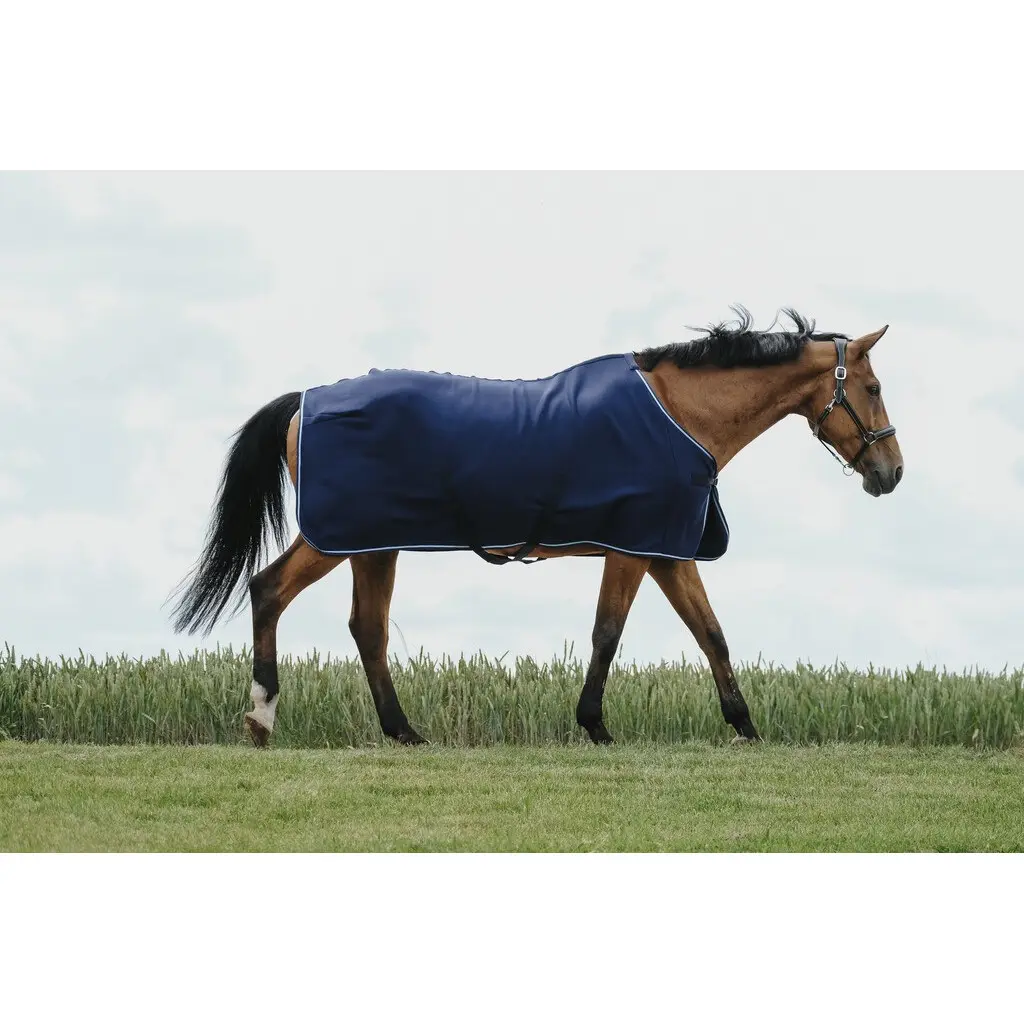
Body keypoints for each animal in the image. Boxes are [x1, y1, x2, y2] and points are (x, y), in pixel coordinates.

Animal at [168, 306, 902, 748]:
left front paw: (746, 728)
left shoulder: (667, 552)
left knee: (366, 630)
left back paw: (403, 731)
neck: (678, 412)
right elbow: (608, 633)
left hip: (373, 545)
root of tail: (306, 399)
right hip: (339, 537)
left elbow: (712, 635)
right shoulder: (634, 547)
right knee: (271, 591)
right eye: (871, 389)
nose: (890, 471)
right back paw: (262, 715)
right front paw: (596, 727)